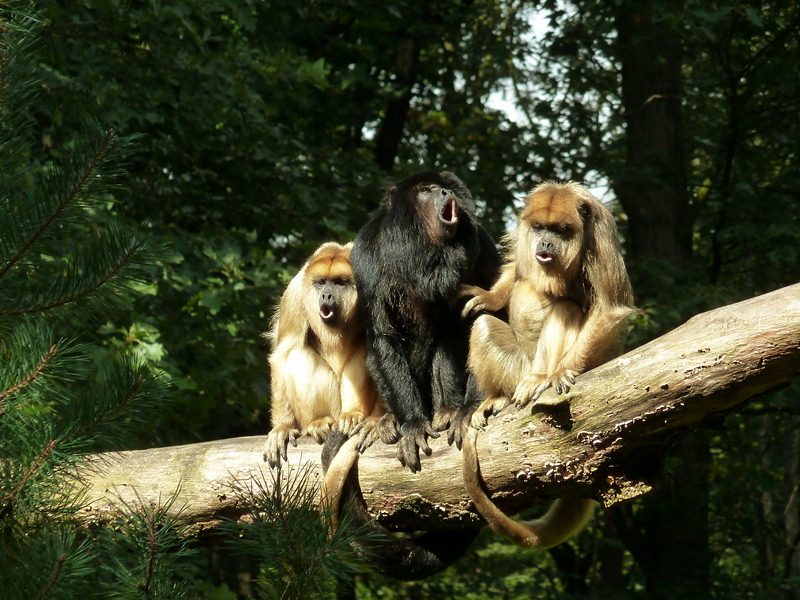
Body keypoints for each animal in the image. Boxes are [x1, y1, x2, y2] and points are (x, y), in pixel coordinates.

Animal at [262, 242, 384, 468]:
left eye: (339, 283)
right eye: (320, 283)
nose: (326, 295)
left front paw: (379, 420)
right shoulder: (294, 293)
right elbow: (283, 354)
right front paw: (283, 427)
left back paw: (353, 414)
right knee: (297, 354)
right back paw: (317, 421)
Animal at [460, 181, 635, 548]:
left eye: (559, 231)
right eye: (540, 228)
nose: (546, 243)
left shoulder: (600, 228)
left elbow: (609, 308)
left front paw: (562, 373)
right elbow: (517, 267)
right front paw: (491, 296)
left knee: (564, 309)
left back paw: (544, 376)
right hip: (515, 369)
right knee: (482, 326)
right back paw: (497, 397)